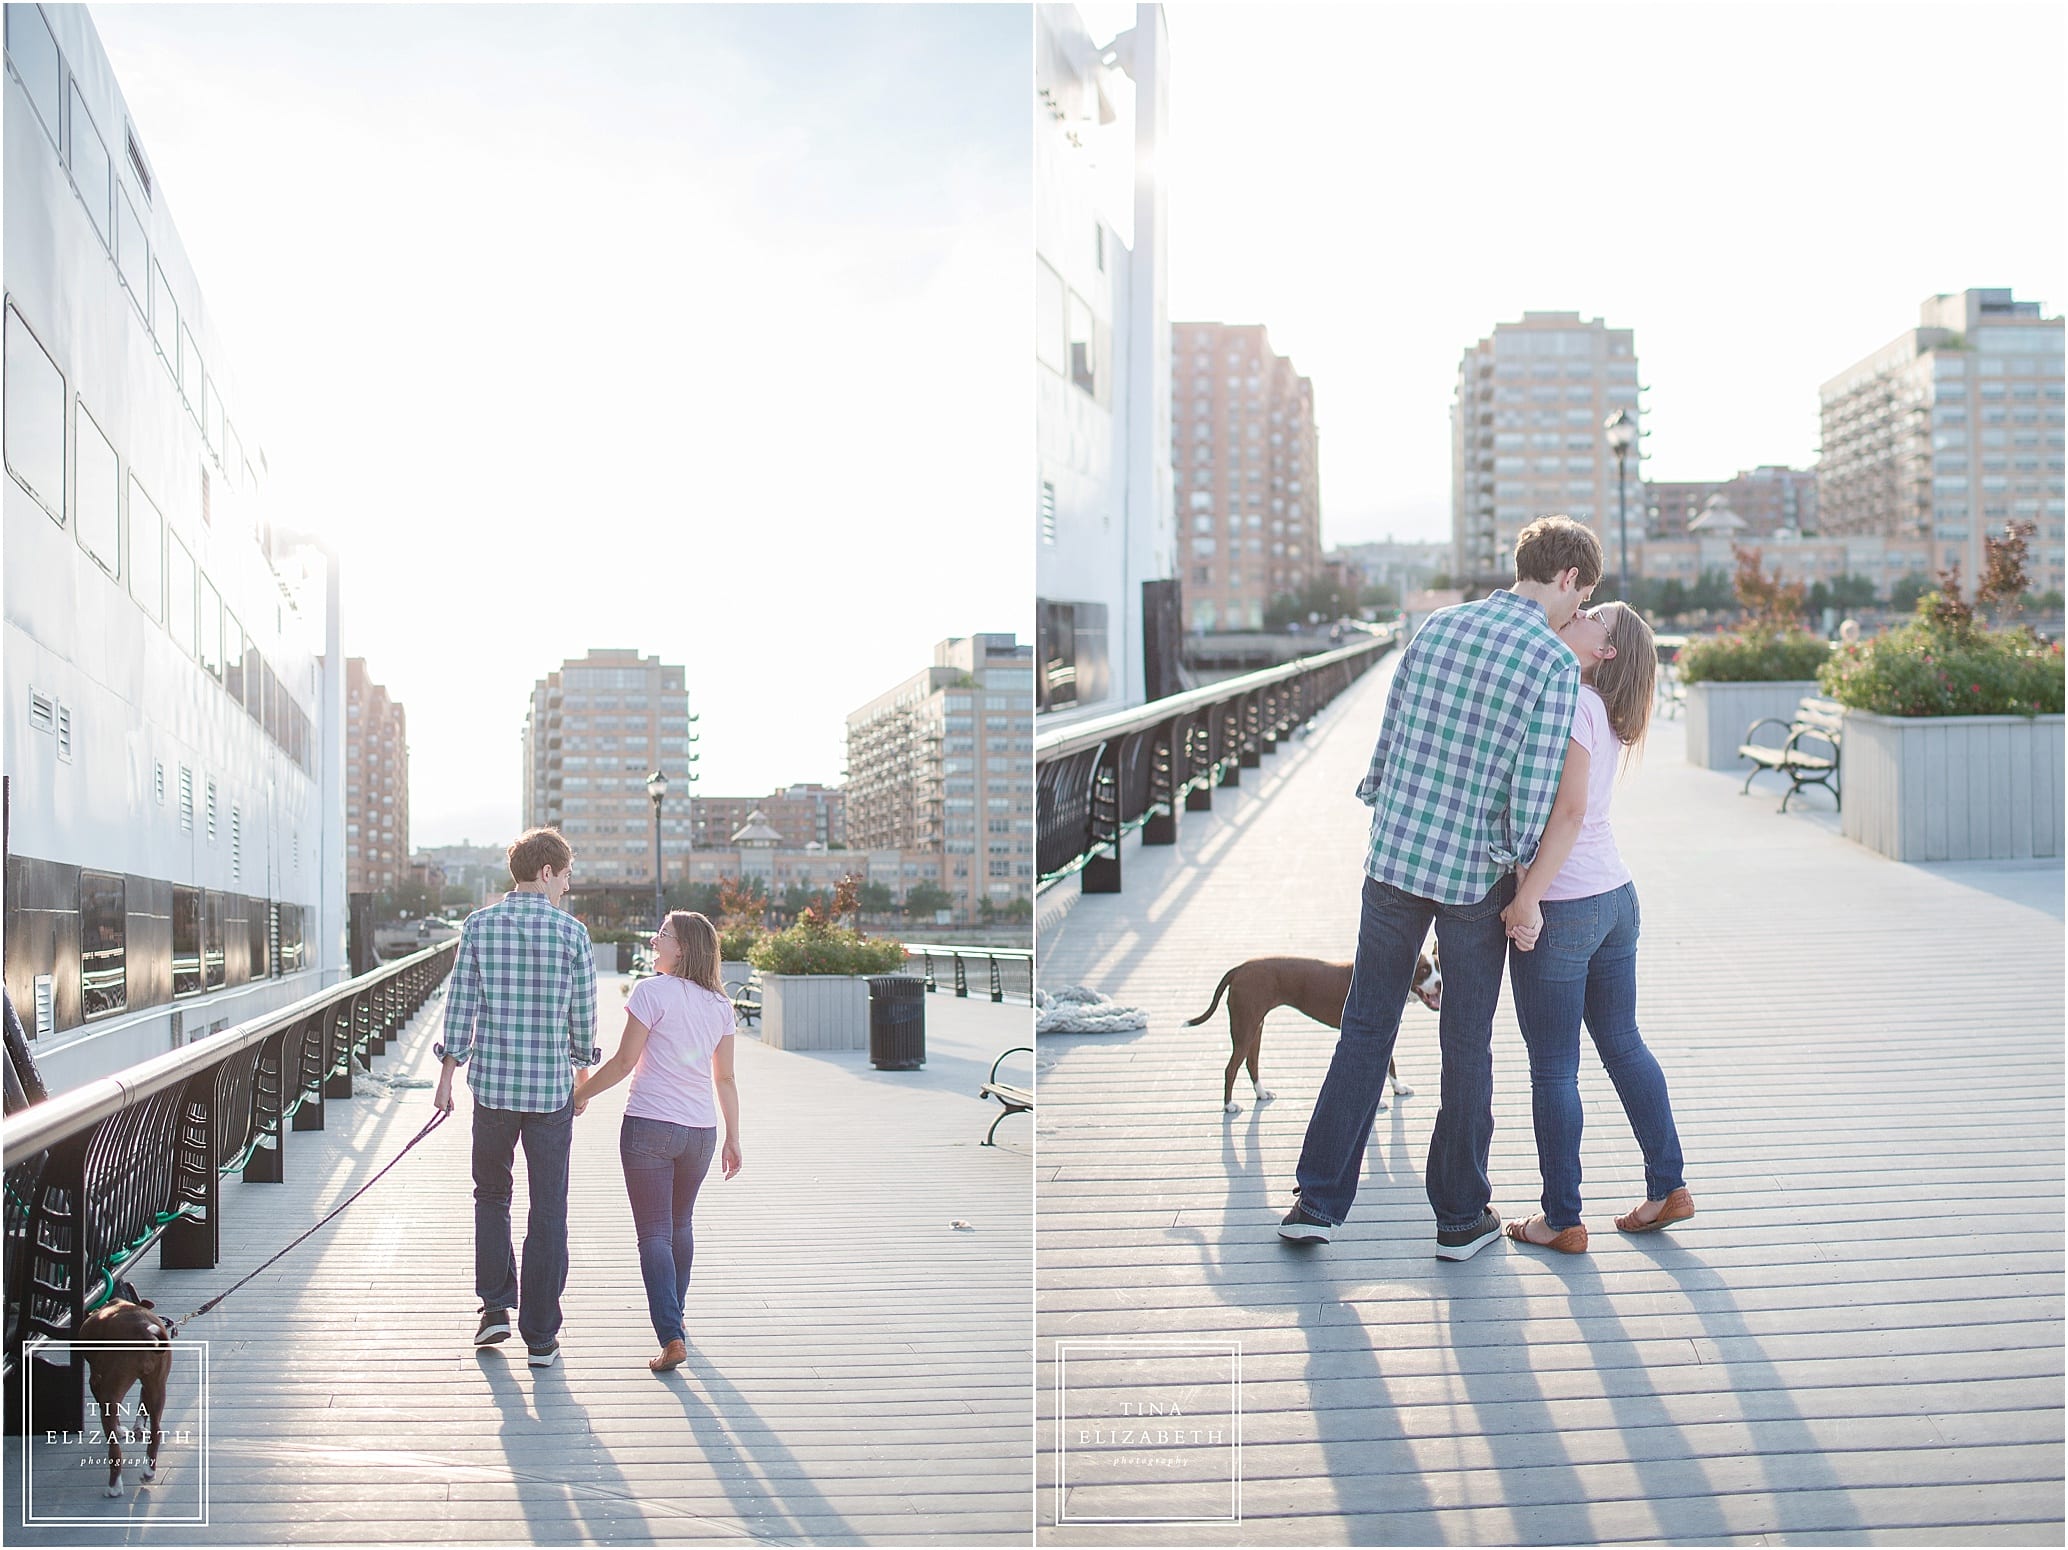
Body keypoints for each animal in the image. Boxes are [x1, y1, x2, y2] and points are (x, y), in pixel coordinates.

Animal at [75, 1281, 173, 1496]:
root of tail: (145, 1331)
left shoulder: (96, 1381)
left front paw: (121, 1430)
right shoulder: (147, 1384)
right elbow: (142, 1407)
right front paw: (138, 1429)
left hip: (111, 1391)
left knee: (114, 1450)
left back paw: (114, 1486)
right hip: (158, 1386)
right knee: (156, 1431)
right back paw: (148, 1472)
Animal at [1199, 946, 1439, 1116]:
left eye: (1439, 968)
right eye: (1424, 970)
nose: (1440, 983)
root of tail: (1240, 968)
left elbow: (1390, 1064)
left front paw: (1398, 1088)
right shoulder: (1372, 1033)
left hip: (1255, 1027)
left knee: (1251, 1063)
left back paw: (1261, 1093)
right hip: (1244, 1029)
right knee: (1231, 1069)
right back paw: (1229, 1105)